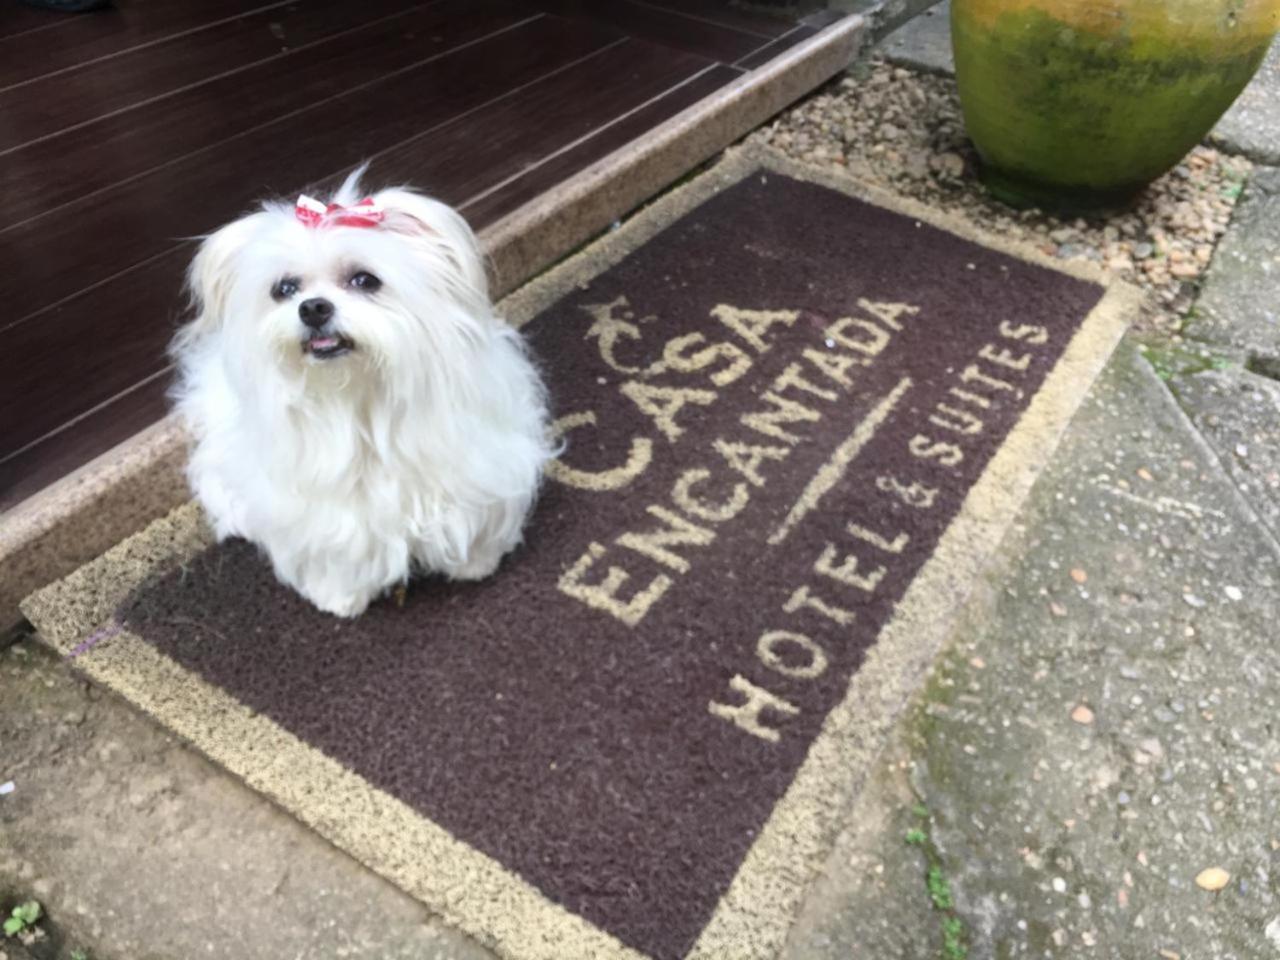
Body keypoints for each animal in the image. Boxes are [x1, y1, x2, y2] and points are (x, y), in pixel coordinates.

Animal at [168, 168, 550, 619]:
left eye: (365, 280)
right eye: (284, 289)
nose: (313, 308)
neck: (359, 397)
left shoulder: (476, 465)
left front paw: (476, 563)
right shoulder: (322, 511)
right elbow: (336, 549)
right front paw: (339, 599)